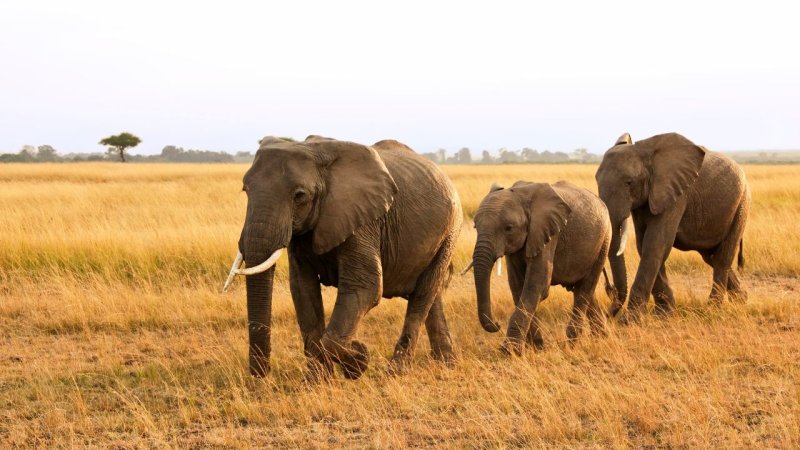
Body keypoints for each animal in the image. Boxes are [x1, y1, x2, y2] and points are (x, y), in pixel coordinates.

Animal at [223, 135, 462, 380]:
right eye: (245, 189)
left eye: (300, 196)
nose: (261, 374)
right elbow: (302, 288)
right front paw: (317, 381)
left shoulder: (363, 219)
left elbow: (365, 288)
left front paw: (358, 360)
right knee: (431, 297)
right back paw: (446, 364)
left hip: (450, 232)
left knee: (423, 295)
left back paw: (396, 372)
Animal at [468, 180, 611, 355]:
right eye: (475, 226)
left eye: (508, 228)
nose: (497, 324)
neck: (522, 194)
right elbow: (517, 286)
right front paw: (536, 347)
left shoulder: (547, 233)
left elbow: (536, 286)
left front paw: (508, 351)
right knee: (582, 290)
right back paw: (602, 337)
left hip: (604, 240)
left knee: (585, 289)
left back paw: (571, 344)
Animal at [595, 132, 751, 322]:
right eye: (596, 180)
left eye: (629, 182)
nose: (608, 313)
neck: (647, 153)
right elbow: (643, 245)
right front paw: (664, 313)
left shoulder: (676, 195)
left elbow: (655, 244)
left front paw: (630, 321)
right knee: (711, 256)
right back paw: (741, 301)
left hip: (741, 203)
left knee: (723, 256)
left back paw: (713, 309)